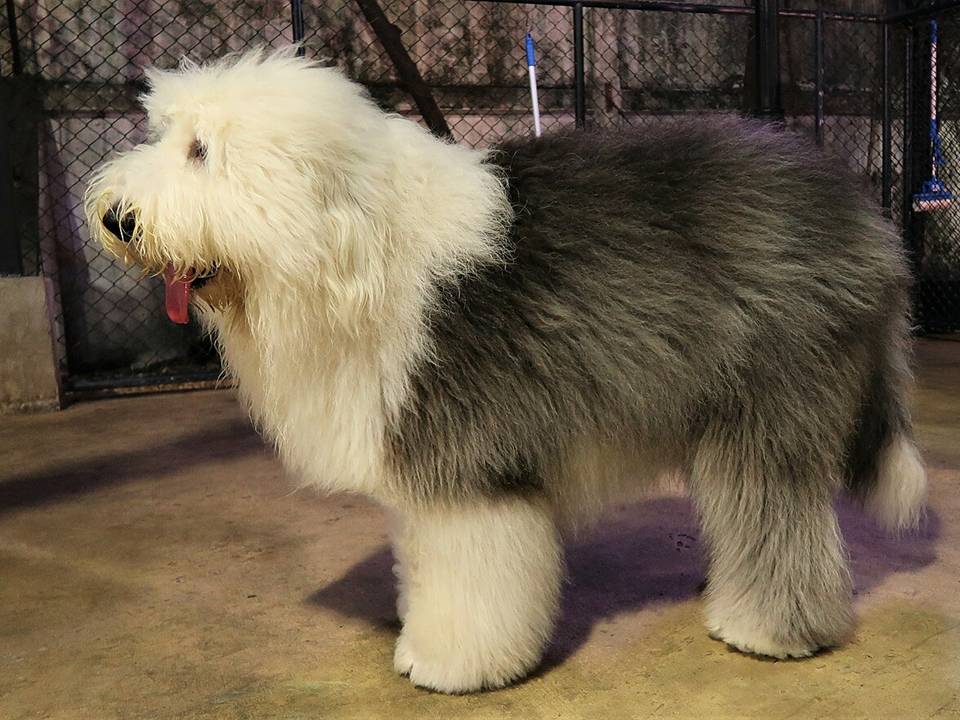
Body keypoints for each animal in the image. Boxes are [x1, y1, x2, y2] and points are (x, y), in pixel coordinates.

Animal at [86, 49, 928, 692]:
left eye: (201, 151)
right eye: (168, 136)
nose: (116, 219)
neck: (354, 248)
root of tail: (861, 211)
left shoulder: (470, 461)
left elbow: (473, 576)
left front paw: (450, 663)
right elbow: (427, 558)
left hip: (772, 400)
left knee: (779, 513)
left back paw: (768, 629)